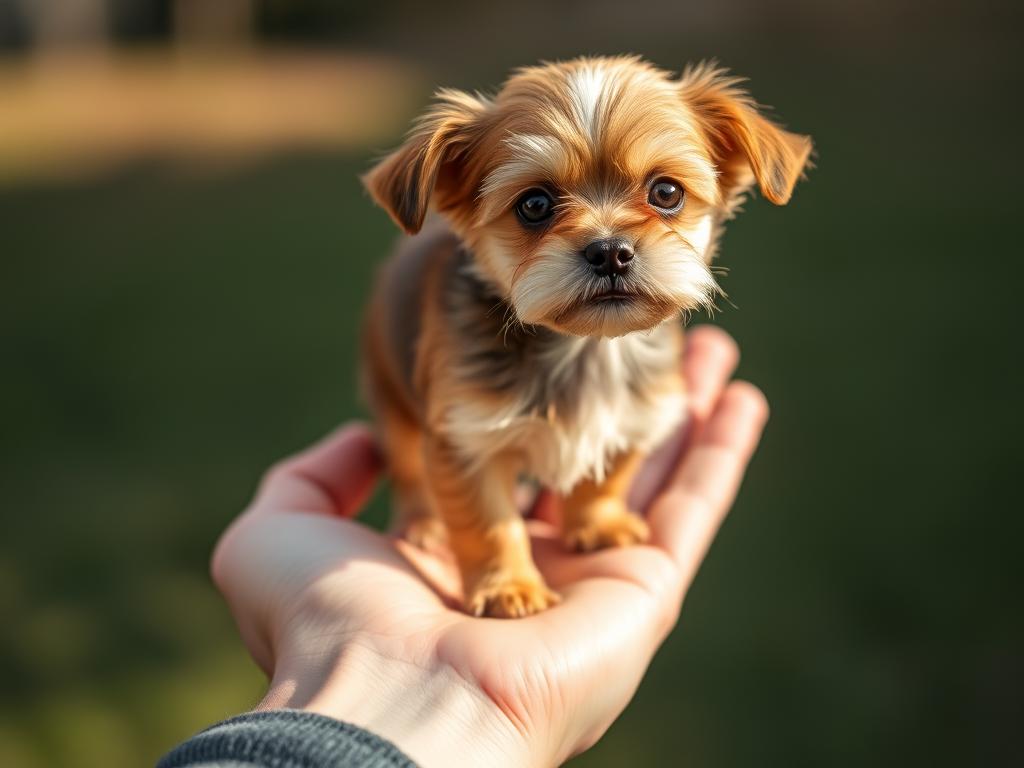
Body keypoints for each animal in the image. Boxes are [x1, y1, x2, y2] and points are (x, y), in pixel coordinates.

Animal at [356, 54, 811, 618]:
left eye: (666, 192)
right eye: (534, 205)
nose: (610, 251)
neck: (587, 349)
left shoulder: (638, 416)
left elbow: (606, 478)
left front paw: (599, 527)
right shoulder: (464, 438)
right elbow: (489, 524)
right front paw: (508, 587)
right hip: (392, 393)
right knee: (406, 466)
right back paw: (422, 523)